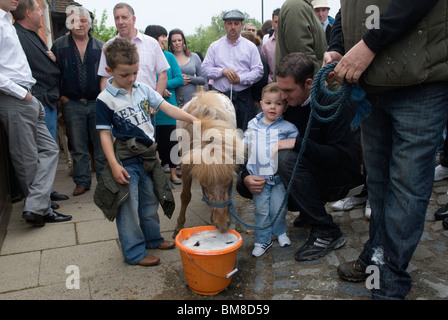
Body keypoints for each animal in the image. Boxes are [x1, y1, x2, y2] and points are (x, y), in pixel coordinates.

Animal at [173, 90, 245, 238]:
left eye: (230, 182)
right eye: (204, 185)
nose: (222, 225)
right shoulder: (186, 166)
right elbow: (185, 196)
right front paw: (179, 225)